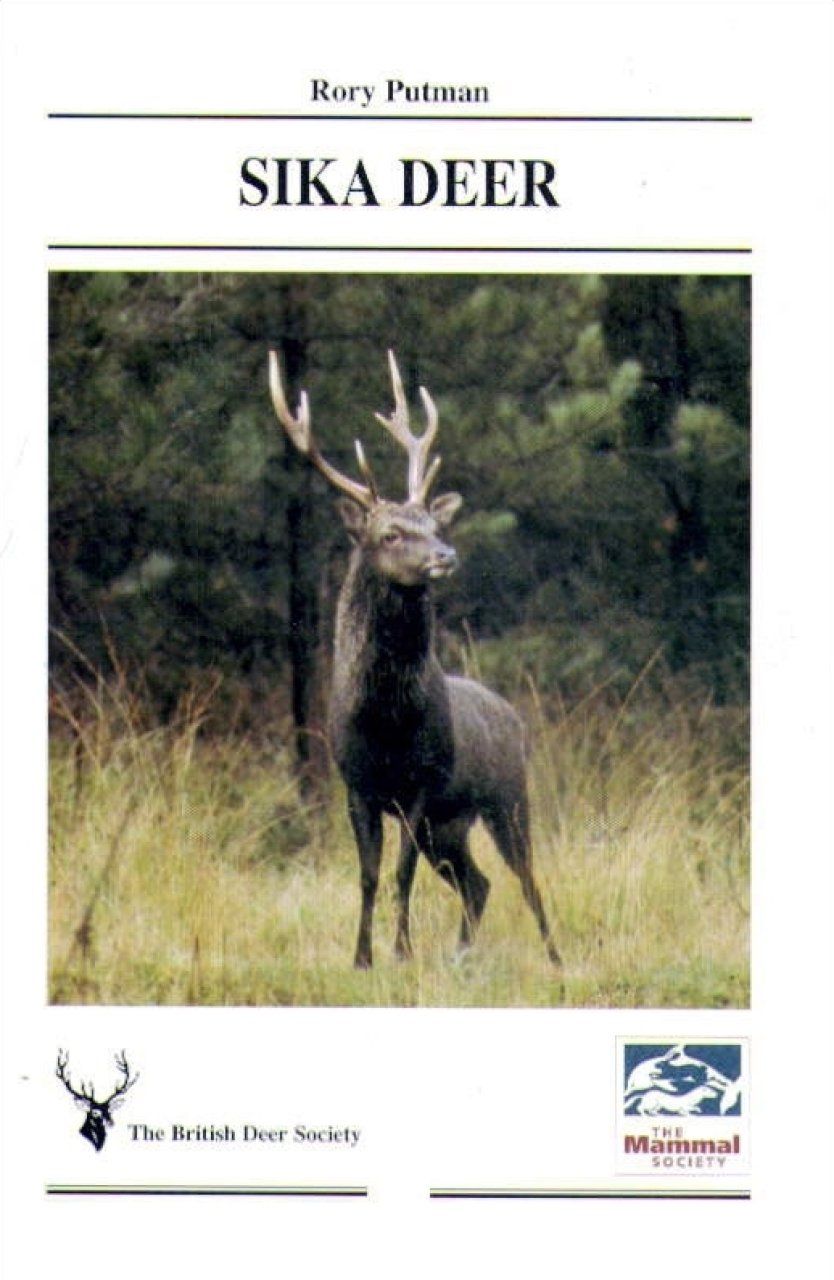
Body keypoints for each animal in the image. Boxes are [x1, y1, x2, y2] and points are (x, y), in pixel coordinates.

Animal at [269, 349, 560, 970]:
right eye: (390, 533)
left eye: (434, 523)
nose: (445, 554)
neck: (386, 720)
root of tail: (511, 714)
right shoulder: (357, 786)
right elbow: (368, 876)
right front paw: (361, 956)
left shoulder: (420, 785)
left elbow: (400, 875)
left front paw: (400, 952)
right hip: (449, 825)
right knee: (477, 882)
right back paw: (462, 954)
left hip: (506, 796)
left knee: (526, 878)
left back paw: (555, 958)